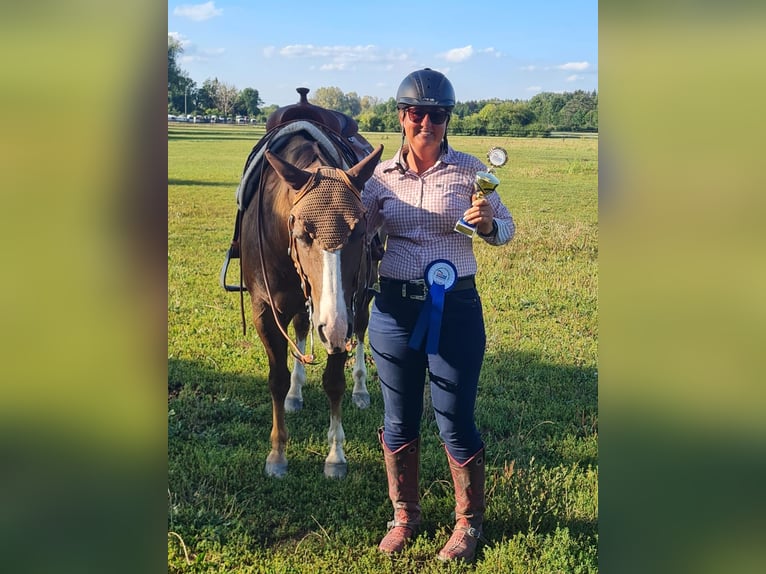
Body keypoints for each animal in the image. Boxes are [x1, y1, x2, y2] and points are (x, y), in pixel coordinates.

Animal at [226, 92, 388, 480]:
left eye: (360, 229)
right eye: (301, 232)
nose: (334, 326)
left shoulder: (346, 308)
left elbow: (334, 381)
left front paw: (335, 455)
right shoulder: (265, 310)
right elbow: (277, 377)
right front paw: (277, 453)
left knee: (360, 332)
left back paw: (361, 389)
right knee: (301, 329)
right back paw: (296, 394)